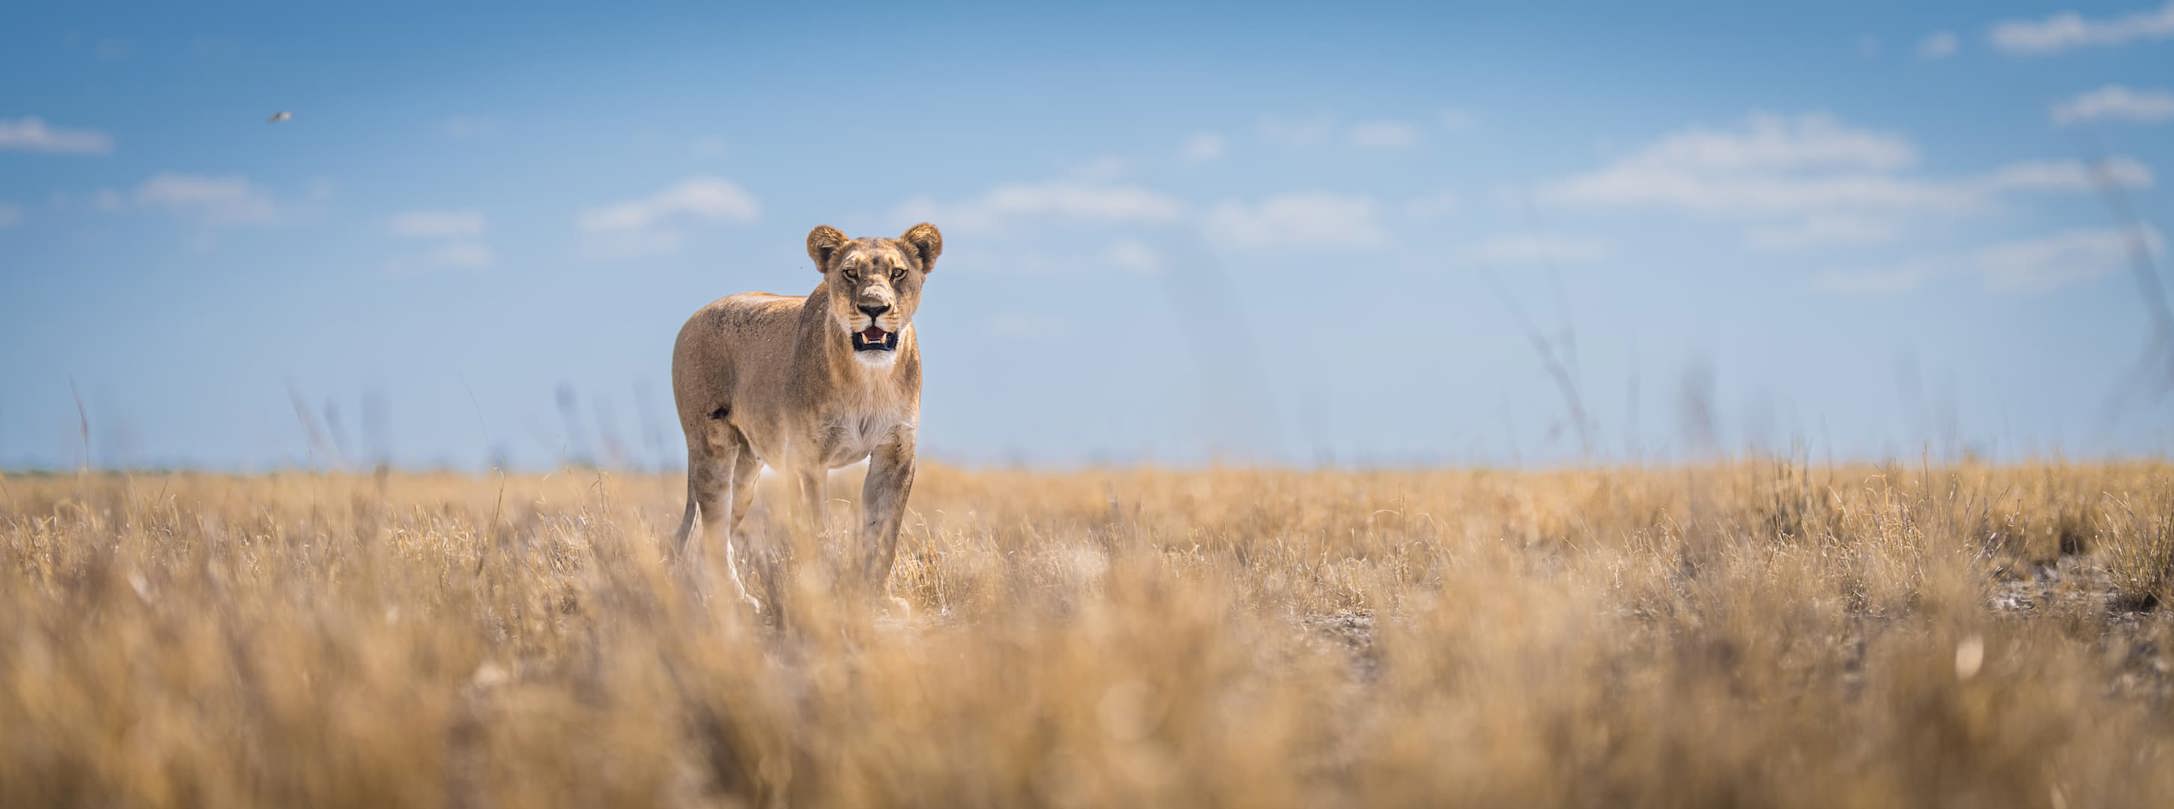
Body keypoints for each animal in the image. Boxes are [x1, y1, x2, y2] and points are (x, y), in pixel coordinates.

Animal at [670, 223, 941, 610]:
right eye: (850, 273)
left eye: (898, 273)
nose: (874, 307)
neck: (868, 378)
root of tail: (696, 314)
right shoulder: (805, 459)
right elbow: (817, 531)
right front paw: (825, 594)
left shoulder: (896, 452)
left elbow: (882, 533)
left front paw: (878, 599)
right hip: (712, 448)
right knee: (711, 531)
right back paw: (735, 600)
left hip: (746, 472)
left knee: (706, 537)